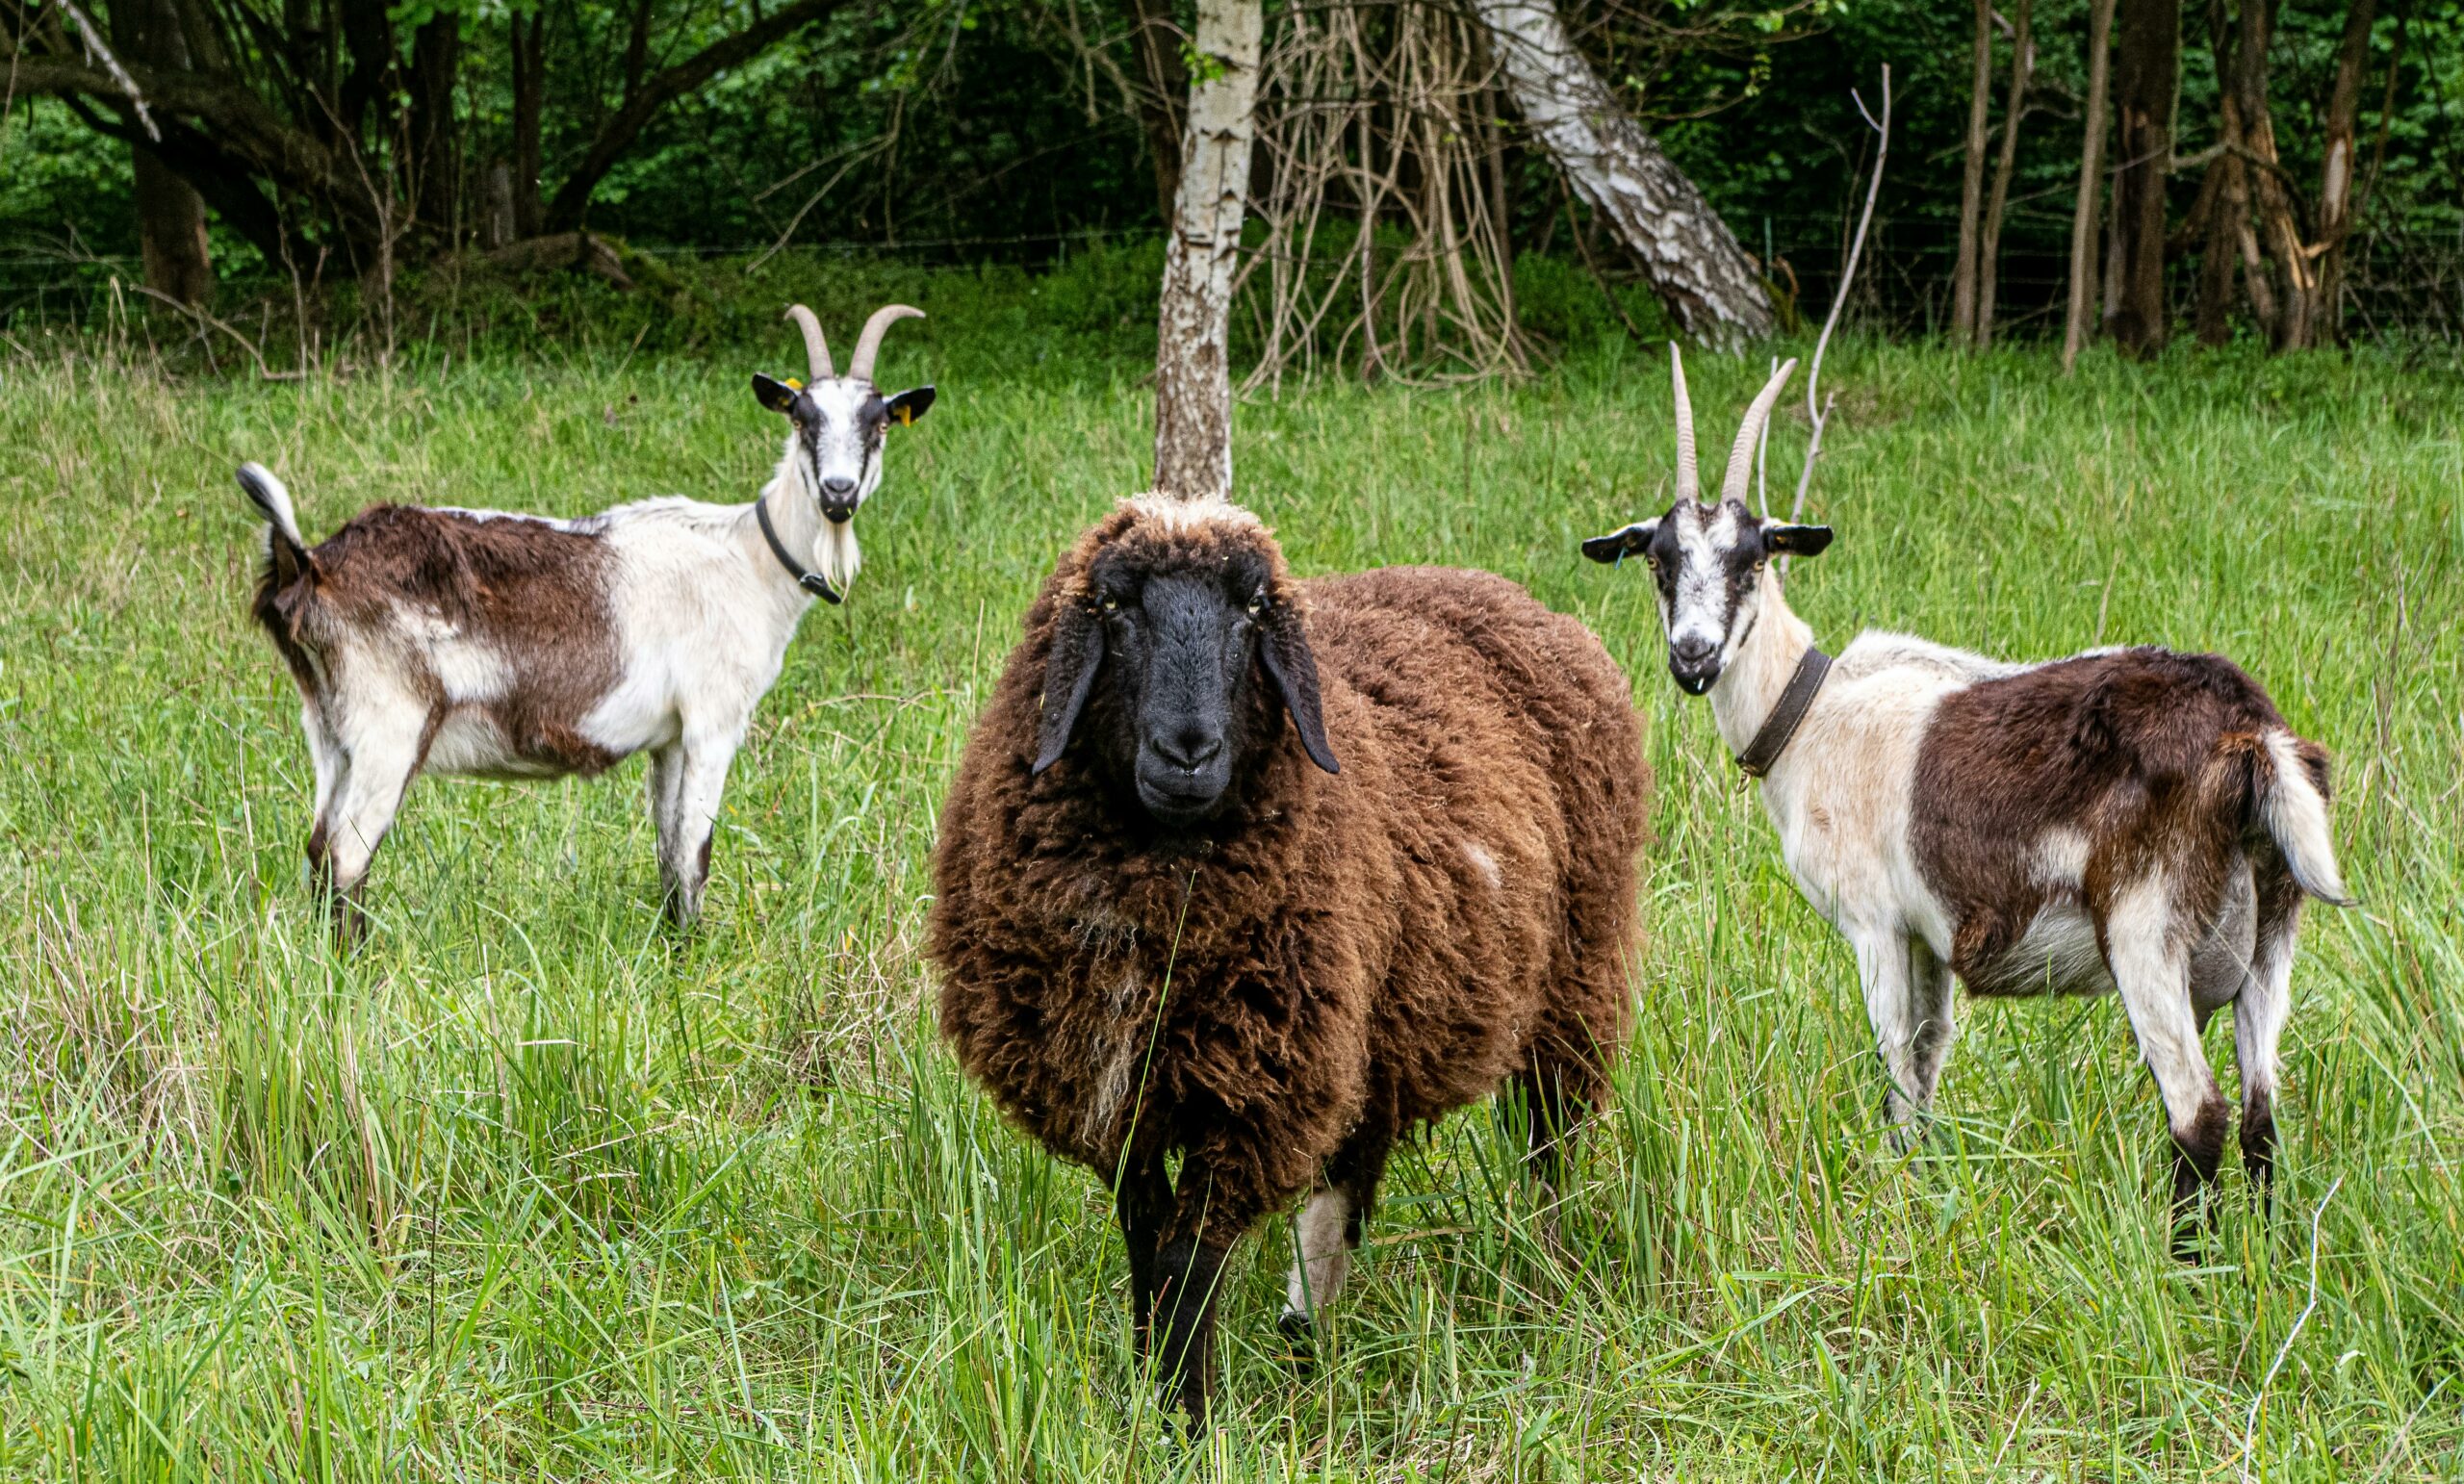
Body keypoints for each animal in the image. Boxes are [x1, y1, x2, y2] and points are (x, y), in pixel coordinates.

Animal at [236, 303, 934, 937]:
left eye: (878, 422)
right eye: (801, 417)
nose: (839, 493)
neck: (749, 558)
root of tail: (309, 566)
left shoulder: (669, 738)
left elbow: (668, 853)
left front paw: (674, 948)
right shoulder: (713, 719)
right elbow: (696, 853)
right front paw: (697, 960)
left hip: (329, 728)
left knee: (317, 848)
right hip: (390, 724)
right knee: (347, 856)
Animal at [929, 494, 1650, 1424]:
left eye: (1252, 610)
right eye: (1116, 607)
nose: (1188, 752)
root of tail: (1501, 589)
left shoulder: (1255, 1094)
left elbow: (1187, 1261)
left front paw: (1185, 1421)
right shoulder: (1117, 1095)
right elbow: (1146, 1244)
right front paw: (1150, 1393)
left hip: (1575, 972)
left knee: (1550, 1138)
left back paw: (1542, 1281)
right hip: (1378, 1020)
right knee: (1353, 1167)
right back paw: (1307, 1336)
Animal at [1581, 347, 2349, 1253]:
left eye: (1753, 558)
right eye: (1660, 560)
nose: (1694, 656)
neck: (1809, 714)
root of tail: (2249, 730)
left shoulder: (1875, 924)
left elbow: (1896, 1072)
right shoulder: (1930, 938)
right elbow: (1928, 1064)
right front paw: (1917, 1197)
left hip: (2145, 927)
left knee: (2200, 1113)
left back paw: (2187, 1266)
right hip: (2272, 931)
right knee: (2263, 1112)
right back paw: (2258, 1260)